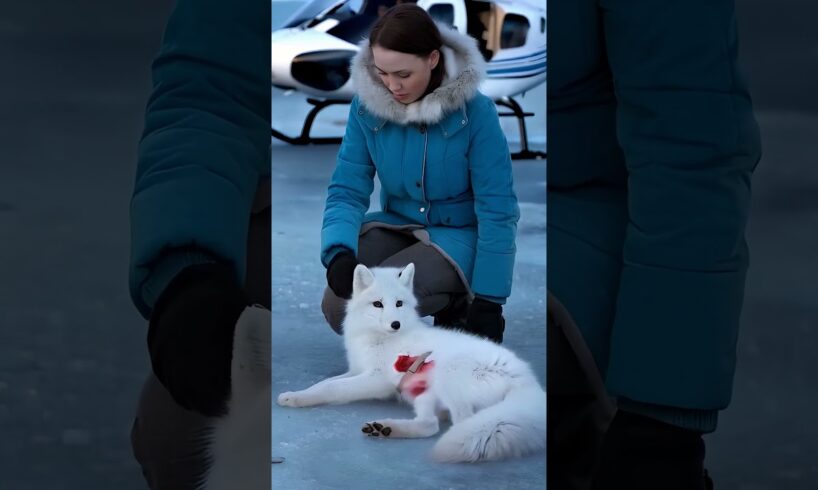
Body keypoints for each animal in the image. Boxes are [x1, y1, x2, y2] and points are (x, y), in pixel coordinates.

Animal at [278, 262, 544, 462]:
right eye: (377, 304)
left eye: (399, 303)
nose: (395, 324)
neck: (376, 338)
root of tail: (526, 378)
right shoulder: (357, 370)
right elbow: (325, 383)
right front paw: (296, 395)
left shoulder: (377, 378)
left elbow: (332, 388)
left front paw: (300, 398)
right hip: (423, 392)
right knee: (429, 424)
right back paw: (384, 429)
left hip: (447, 374)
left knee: (453, 423)